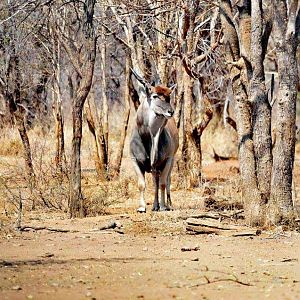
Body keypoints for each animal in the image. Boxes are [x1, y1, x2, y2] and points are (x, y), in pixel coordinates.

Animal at [129, 70, 178, 212]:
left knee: (166, 181)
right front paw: (142, 207)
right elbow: (141, 184)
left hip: (170, 161)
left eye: (168, 97)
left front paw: (163, 206)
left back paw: (167, 204)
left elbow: (163, 183)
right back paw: (155, 205)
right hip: (155, 167)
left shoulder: (167, 160)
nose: (171, 111)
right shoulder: (135, 160)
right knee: (155, 181)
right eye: (155, 96)